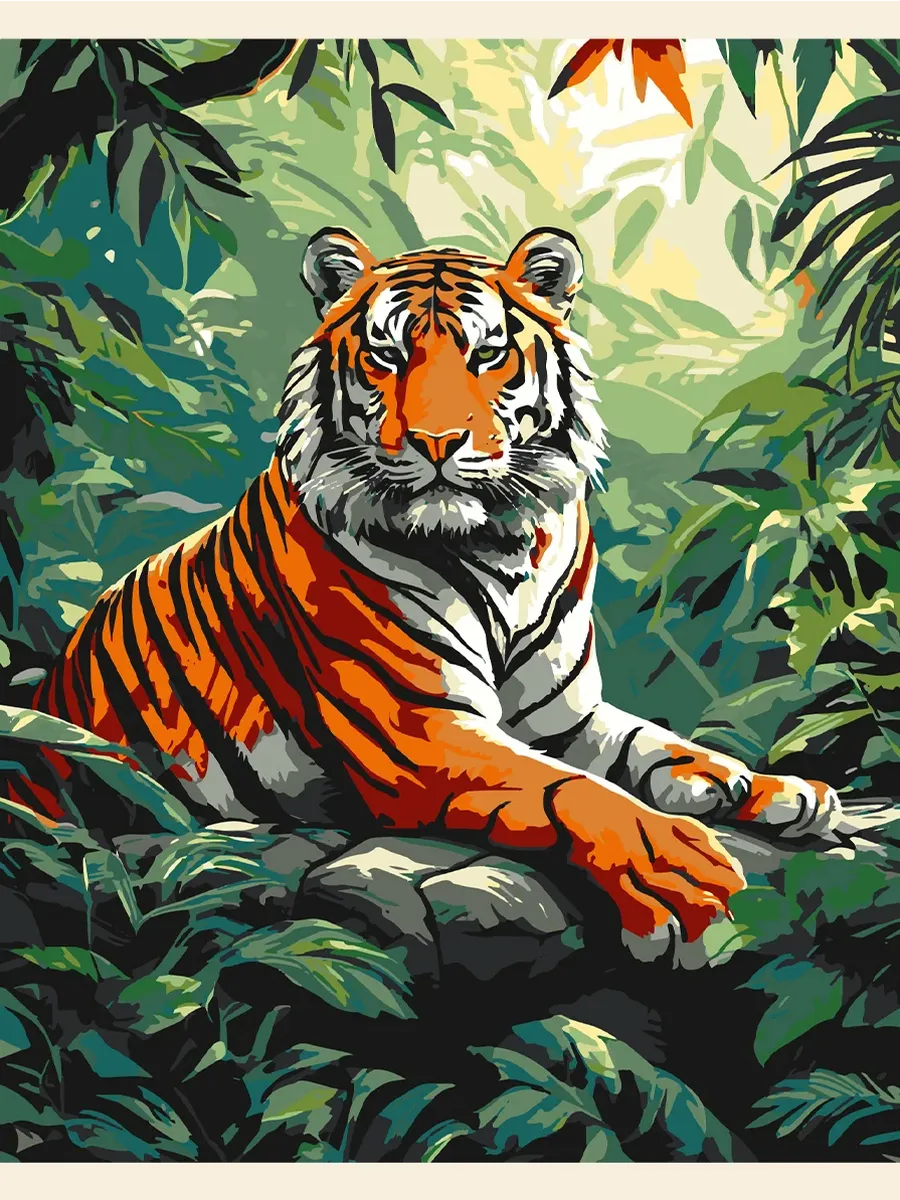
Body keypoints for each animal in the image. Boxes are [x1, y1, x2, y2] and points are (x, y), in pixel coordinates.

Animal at [22, 226, 844, 963]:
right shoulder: (420, 728)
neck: (505, 546)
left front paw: (765, 785)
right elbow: (567, 789)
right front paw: (677, 871)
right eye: (386, 354)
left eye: (488, 354)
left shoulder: (563, 714)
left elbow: (645, 738)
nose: (438, 442)